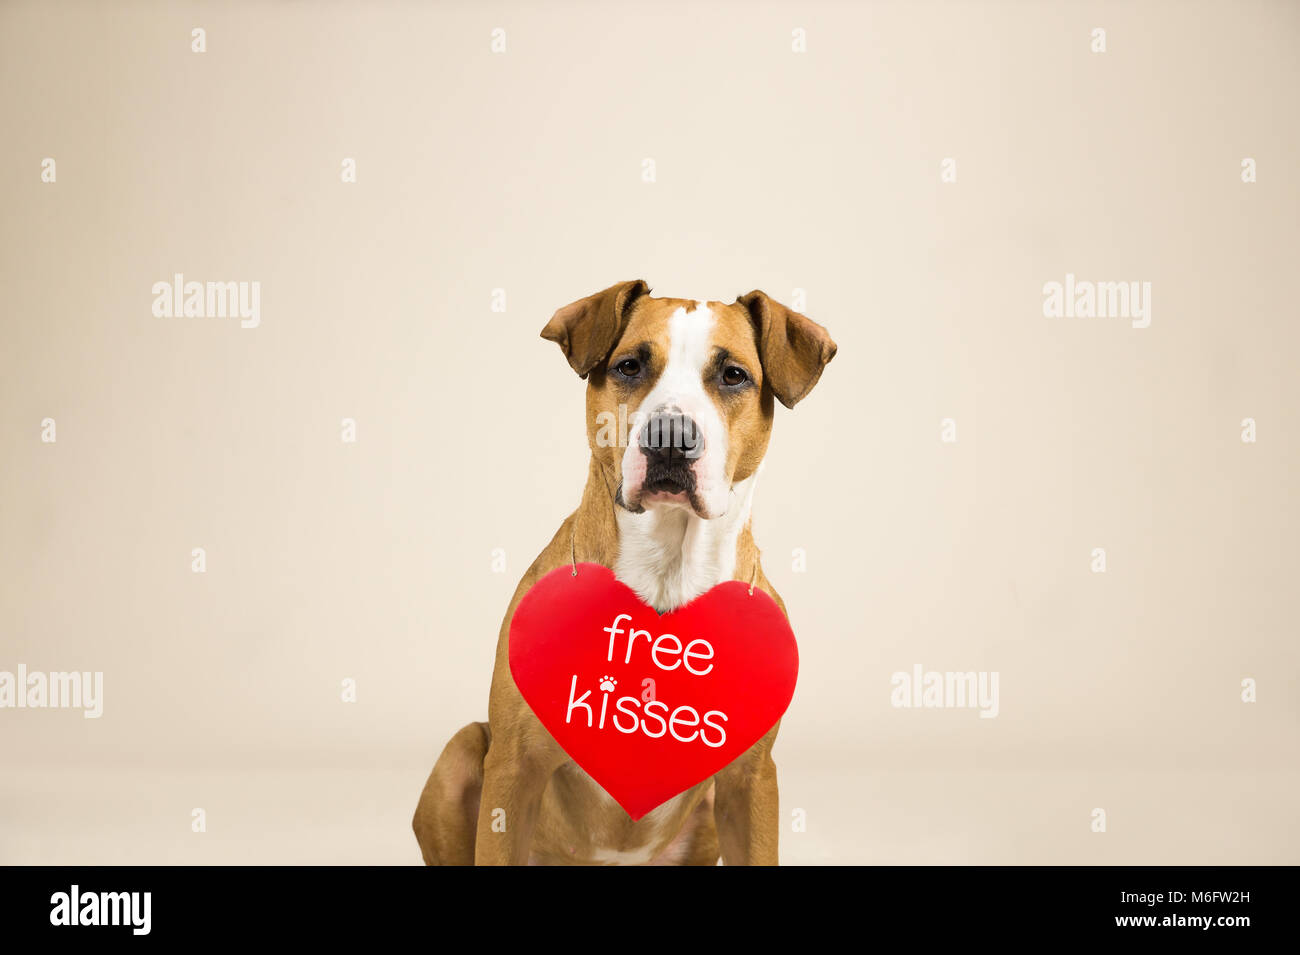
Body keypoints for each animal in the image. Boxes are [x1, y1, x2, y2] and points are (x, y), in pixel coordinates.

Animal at [410, 278, 832, 867]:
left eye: (733, 375)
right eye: (630, 366)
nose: (671, 436)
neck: (667, 571)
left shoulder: (751, 783)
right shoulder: (512, 770)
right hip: (463, 751)